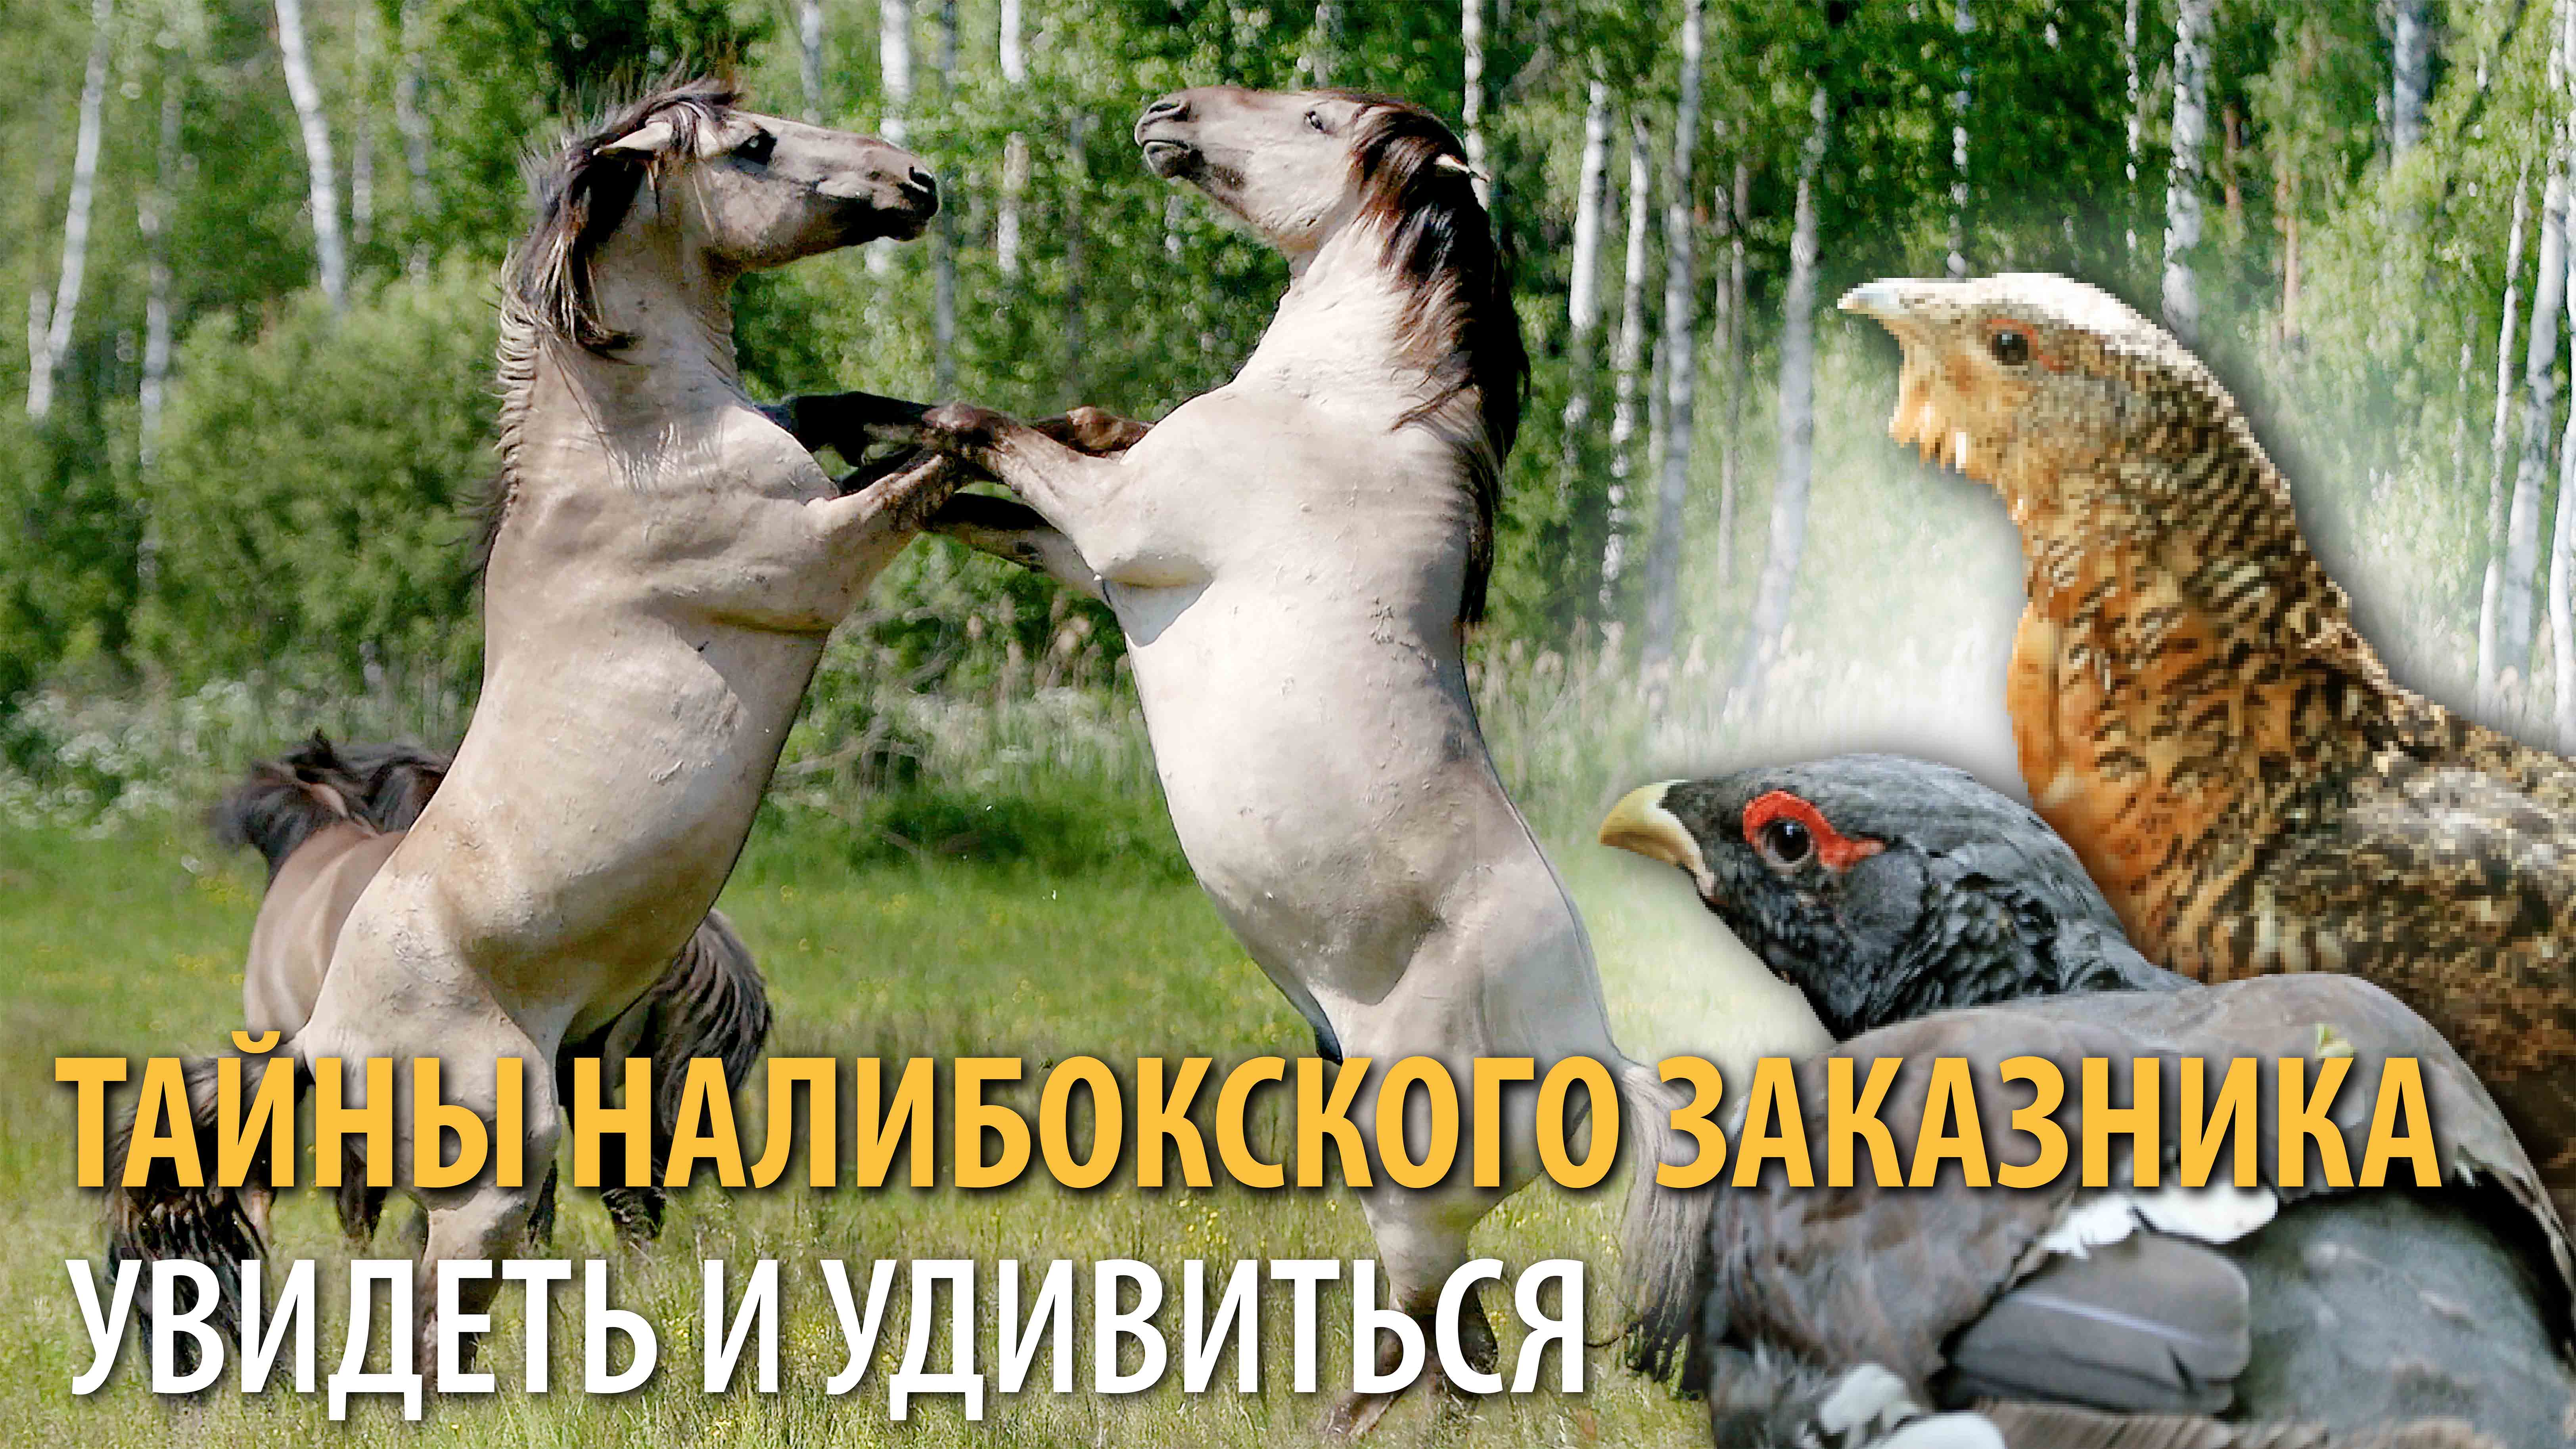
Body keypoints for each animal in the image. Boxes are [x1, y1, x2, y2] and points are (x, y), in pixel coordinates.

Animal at [794, 87, 1702, 1432]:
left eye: (1318, 117)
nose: (1166, 113)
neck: (1341, 410)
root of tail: (1590, 1047)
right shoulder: (1086, 557)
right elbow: (979, 477)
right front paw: (839, 425)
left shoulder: (1116, 527)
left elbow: (986, 432)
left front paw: (871, 437)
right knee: (1466, 1344)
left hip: (1404, 1172)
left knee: (1425, 1334)